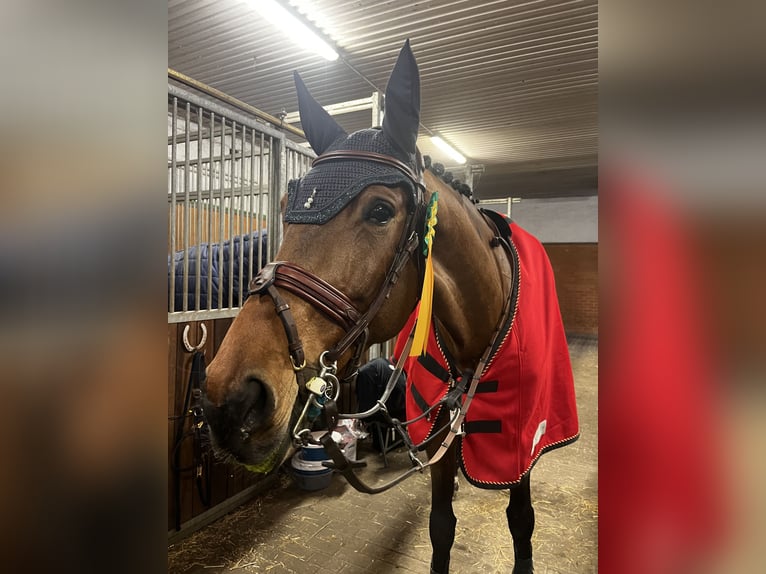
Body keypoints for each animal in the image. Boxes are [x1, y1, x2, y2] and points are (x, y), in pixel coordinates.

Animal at [201, 40, 579, 574]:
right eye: (285, 206)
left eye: (380, 210)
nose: (230, 400)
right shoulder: (438, 435)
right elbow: (441, 526)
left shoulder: (522, 444)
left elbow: (521, 519)